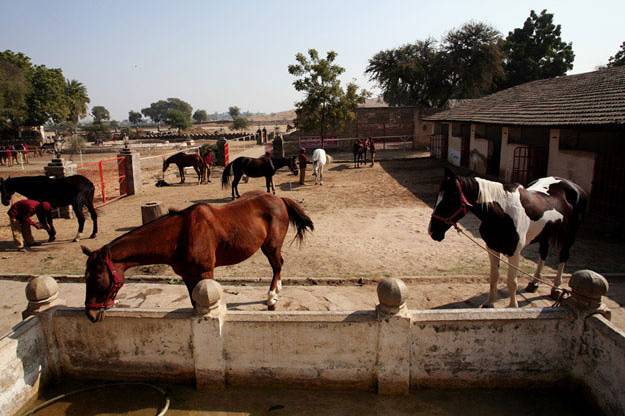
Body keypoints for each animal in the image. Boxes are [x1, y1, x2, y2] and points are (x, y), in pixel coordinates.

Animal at [80, 190, 314, 324]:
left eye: (98, 278)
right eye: (85, 278)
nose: (90, 315)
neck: (180, 235)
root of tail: (278, 198)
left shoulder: (205, 272)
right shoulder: (187, 276)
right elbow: (194, 303)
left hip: (271, 246)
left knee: (277, 266)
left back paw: (272, 298)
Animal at [428, 167, 584, 308]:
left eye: (449, 200)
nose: (431, 231)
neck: (502, 214)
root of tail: (573, 186)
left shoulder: (514, 253)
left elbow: (512, 281)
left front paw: (512, 306)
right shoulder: (492, 248)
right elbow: (494, 276)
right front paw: (489, 303)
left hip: (569, 236)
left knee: (563, 256)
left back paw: (556, 289)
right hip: (544, 234)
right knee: (543, 253)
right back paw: (533, 284)